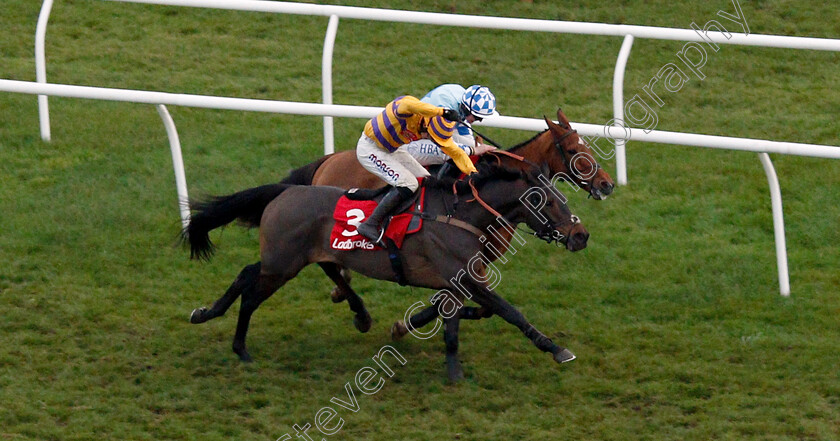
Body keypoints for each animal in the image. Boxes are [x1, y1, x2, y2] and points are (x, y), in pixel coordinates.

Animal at [184, 161, 592, 378]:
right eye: (549, 202)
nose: (581, 235)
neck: (459, 215)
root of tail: (284, 191)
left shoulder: (460, 281)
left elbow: (459, 319)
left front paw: (451, 369)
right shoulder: (464, 277)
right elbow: (510, 311)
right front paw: (556, 349)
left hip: (287, 259)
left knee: (247, 274)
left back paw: (205, 313)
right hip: (283, 264)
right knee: (252, 294)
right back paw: (240, 348)